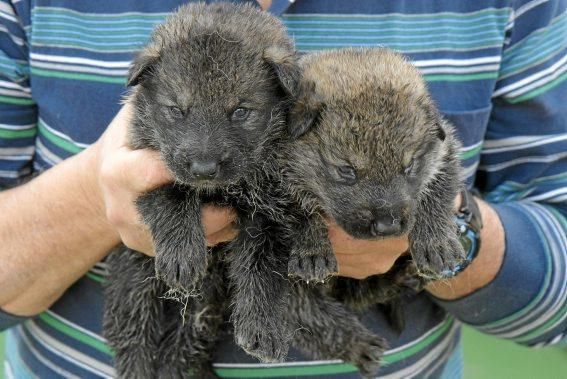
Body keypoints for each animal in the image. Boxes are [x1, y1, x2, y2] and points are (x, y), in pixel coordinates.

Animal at [104, 2, 304, 378]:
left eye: (240, 111)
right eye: (176, 110)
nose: (204, 168)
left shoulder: (269, 210)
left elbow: (264, 266)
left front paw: (263, 325)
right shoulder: (143, 174)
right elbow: (173, 195)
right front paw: (183, 254)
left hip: (201, 308)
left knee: (179, 349)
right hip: (134, 278)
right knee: (134, 337)